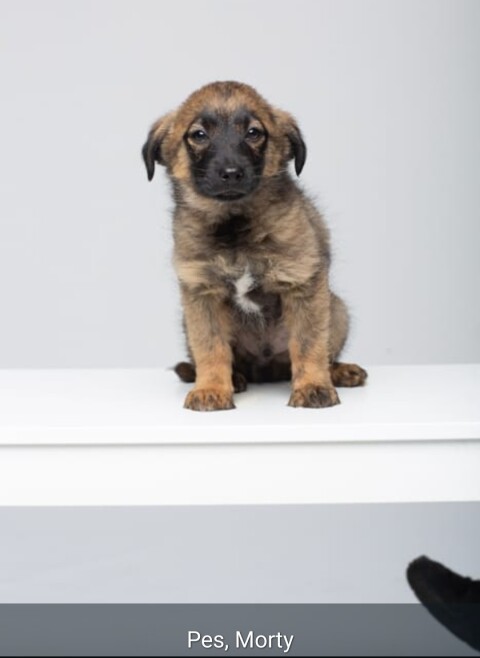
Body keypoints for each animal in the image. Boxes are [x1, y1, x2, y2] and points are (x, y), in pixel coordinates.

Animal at [142, 80, 367, 411]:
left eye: (253, 132)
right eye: (199, 135)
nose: (232, 173)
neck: (235, 228)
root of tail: (266, 370)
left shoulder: (302, 284)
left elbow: (308, 343)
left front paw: (313, 386)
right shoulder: (202, 294)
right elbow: (211, 348)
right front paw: (211, 388)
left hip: (337, 308)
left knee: (323, 351)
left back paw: (338, 371)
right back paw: (234, 378)